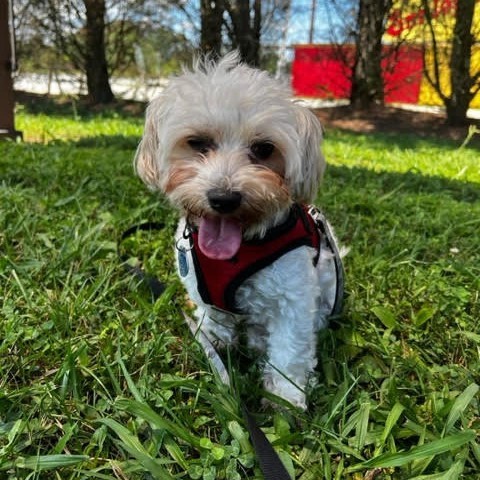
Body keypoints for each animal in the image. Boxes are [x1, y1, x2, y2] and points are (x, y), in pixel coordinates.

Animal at [135, 51, 344, 408]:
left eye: (263, 149)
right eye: (198, 143)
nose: (224, 198)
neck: (241, 248)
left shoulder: (294, 299)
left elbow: (290, 349)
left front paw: (286, 396)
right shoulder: (202, 288)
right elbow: (214, 319)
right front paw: (214, 345)